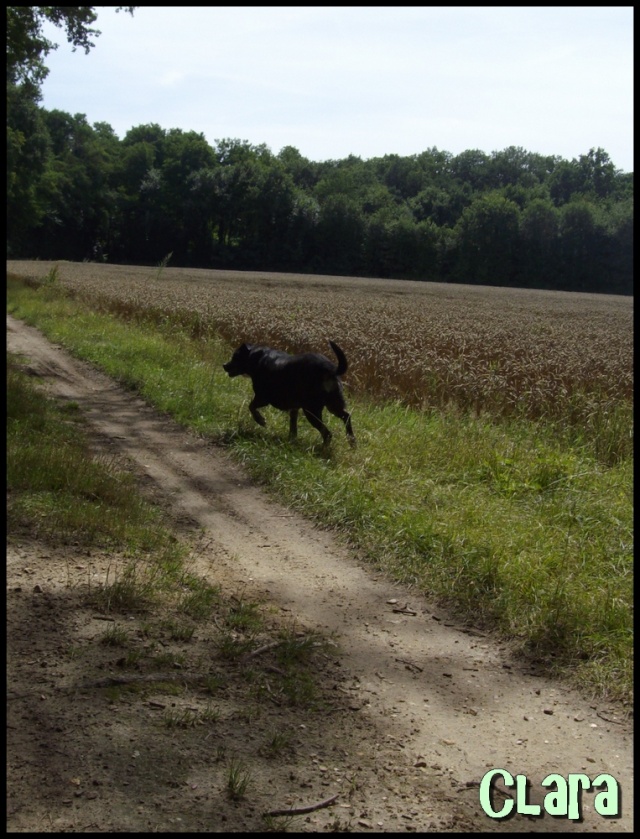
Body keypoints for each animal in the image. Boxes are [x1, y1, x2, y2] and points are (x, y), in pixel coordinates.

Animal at [224, 340, 356, 450]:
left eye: (235, 357)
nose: (224, 365)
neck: (256, 357)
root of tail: (330, 369)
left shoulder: (263, 398)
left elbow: (251, 406)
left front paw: (260, 420)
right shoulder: (294, 408)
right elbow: (293, 428)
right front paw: (291, 441)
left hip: (311, 411)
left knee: (327, 433)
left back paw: (323, 449)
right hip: (333, 405)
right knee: (346, 416)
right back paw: (351, 440)